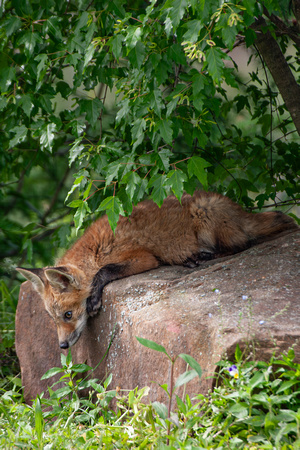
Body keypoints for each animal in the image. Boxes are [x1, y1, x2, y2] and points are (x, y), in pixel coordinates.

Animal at [17, 192, 298, 350]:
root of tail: (240, 209)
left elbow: (105, 272)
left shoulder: (144, 258)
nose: (62, 346)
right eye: (53, 319)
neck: (96, 251)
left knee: (242, 244)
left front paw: (94, 298)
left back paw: (202, 256)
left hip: (205, 213)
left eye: (68, 314)